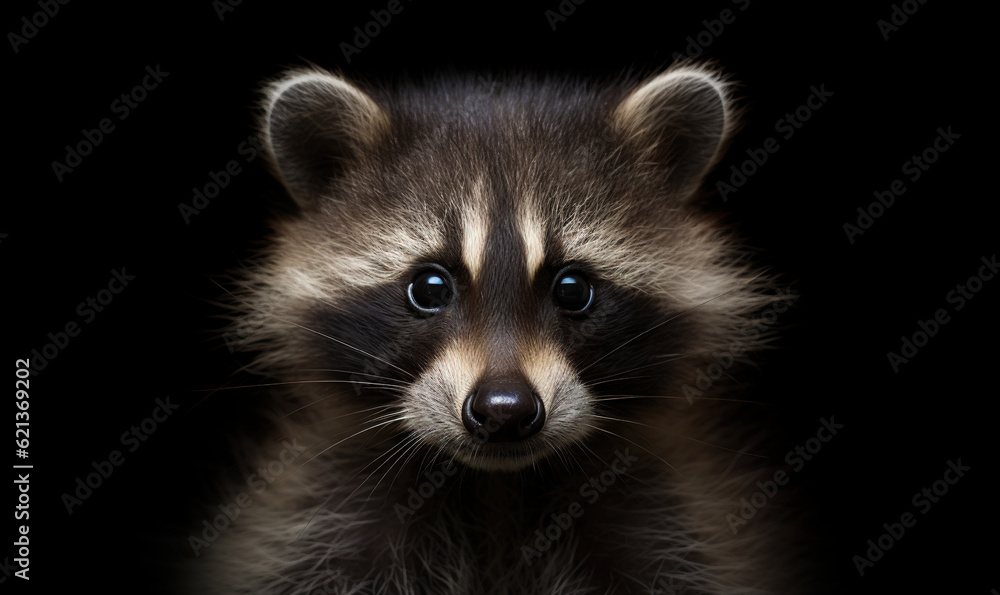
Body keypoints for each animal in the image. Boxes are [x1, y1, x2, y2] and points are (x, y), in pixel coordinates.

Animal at [189, 63, 809, 594]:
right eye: (429, 288)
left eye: (573, 288)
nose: (505, 409)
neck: (497, 489)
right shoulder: (316, 523)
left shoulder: (673, 526)